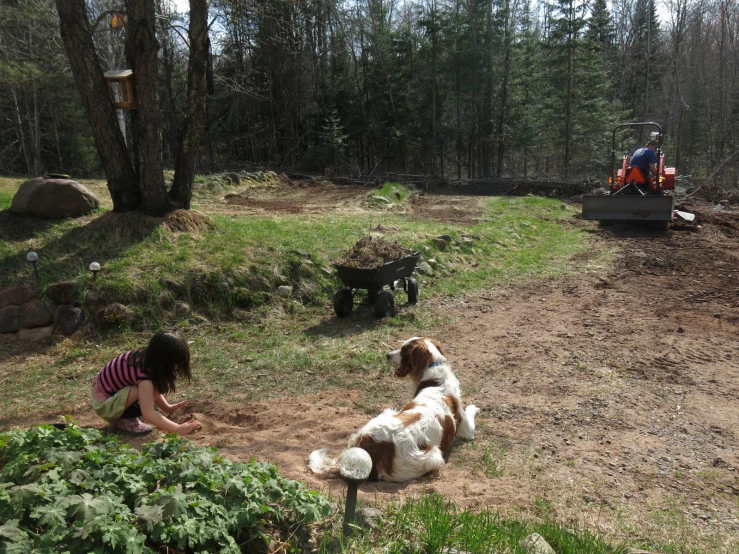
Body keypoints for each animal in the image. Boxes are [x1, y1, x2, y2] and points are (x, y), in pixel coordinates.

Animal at [308, 334, 476, 480]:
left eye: (403, 351)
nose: (387, 354)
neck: (435, 375)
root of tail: (372, 450)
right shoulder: (467, 430)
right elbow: (470, 413)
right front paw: (473, 407)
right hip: (433, 455)